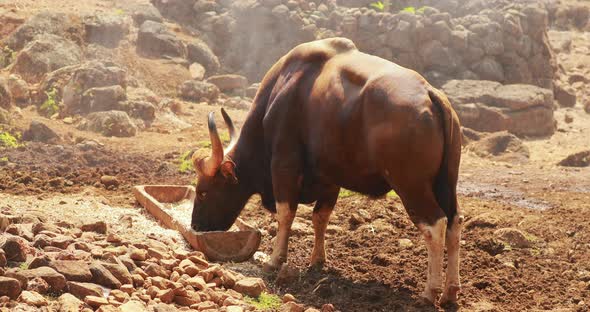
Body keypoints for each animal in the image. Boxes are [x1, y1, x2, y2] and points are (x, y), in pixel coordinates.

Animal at [192, 37, 464, 304]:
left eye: (203, 192)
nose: (196, 225)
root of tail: (431, 95)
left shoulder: (283, 165)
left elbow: (285, 213)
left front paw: (274, 260)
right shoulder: (330, 179)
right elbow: (320, 217)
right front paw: (317, 260)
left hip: (411, 185)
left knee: (435, 225)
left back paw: (430, 292)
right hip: (446, 184)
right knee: (454, 221)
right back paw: (450, 292)